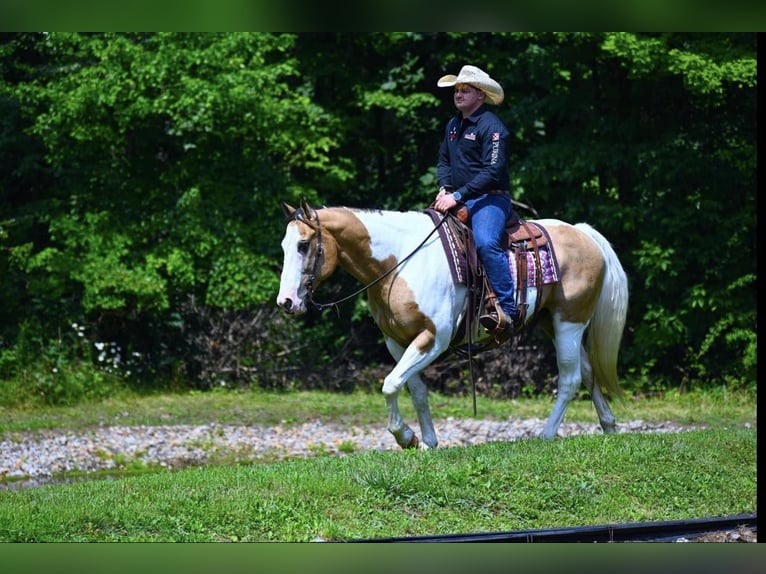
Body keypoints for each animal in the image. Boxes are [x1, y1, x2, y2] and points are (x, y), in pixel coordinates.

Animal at [276, 200, 632, 452]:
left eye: (303, 245)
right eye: (284, 246)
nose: (287, 302)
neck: (399, 262)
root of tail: (584, 233)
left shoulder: (434, 338)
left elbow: (390, 384)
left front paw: (405, 437)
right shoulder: (398, 341)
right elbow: (416, 390)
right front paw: (427, 442)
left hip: (568, 322)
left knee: (571, 378)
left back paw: (545, 435)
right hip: (551, 322)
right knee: (588, 371)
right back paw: (609, 425)